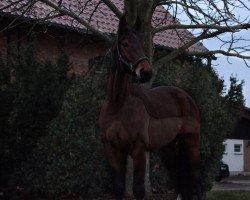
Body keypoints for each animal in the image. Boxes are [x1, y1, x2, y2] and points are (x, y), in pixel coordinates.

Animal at [98, 17, 202, 200]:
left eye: (141, 43)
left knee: (197, 181)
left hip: (192, 143)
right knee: (178, 177)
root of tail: (186, 97)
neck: (118, 104)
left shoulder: (138, 149)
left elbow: (139, 189)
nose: (146, 72)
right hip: (168, 148)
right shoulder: (111, 149)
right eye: (125, 43)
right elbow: (118, 187)